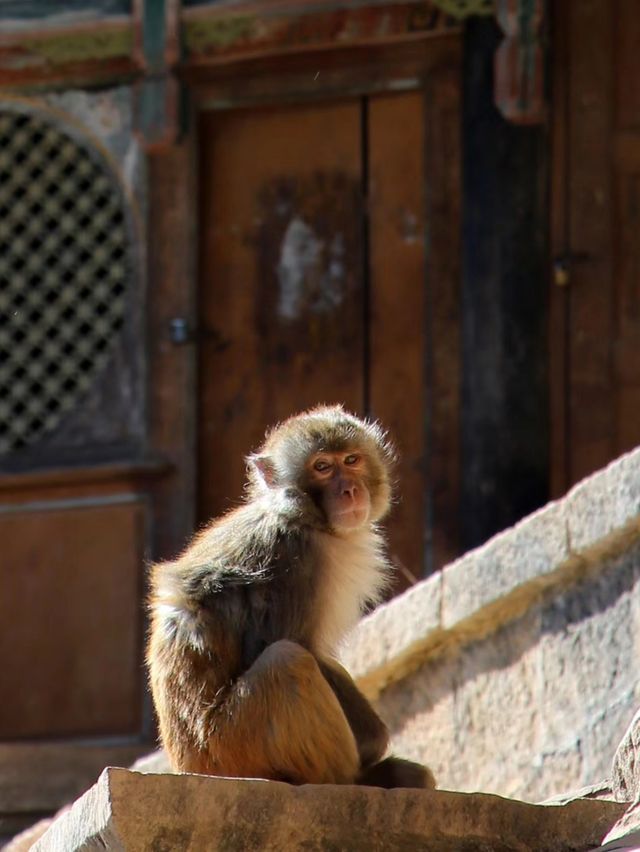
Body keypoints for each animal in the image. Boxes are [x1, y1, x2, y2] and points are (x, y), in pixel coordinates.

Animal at [146, 402, 436, 788]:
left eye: (352, 460)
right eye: (322, 467)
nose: (350, 490)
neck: (304, 516)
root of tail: (186, 763)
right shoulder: (290, 558)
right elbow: (285, 642)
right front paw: (374, 738)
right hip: (230, 746)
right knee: (286, 660)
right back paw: (356, 779)